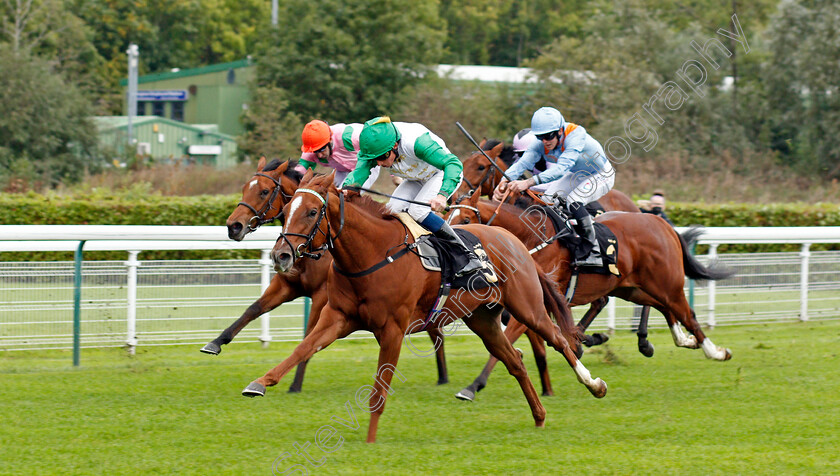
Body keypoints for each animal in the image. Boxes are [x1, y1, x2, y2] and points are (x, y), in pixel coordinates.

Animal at [201, 157, 452, 390]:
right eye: (245, 188)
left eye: (264, 191)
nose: (233, 226)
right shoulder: (287, 284)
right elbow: (253, 309)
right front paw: (215, 343)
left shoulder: (322, 294)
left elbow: (309, 334)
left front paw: (295, 384)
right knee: (435, 327)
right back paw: (443, 376)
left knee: (436, 328)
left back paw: (444, 376)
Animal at [240, 171, 608, 442]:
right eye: (287, 209)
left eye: (312, 212)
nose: (281, 255)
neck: (372, 254)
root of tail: (515, 241)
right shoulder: (339, 317)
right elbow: (303, 348)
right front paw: (259, 383)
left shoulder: (392, 330)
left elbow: (378, 391)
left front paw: (370, 441)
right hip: (483, 319)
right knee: (515, 360)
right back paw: (538, 415)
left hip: (527, 306)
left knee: (560, 341)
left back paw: (594, 385)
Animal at [446, 191, 736, 402]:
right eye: (448, 215)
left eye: (464, 220)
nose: (453, 246)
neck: (529, 238)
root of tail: (660, 222)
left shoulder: (531, 304)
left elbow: (506, 341)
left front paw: (473, 386)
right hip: (631, 287)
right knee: (662, 308)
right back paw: (680, 340)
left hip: (667, 283)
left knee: (689, 315)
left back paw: (714, 351)